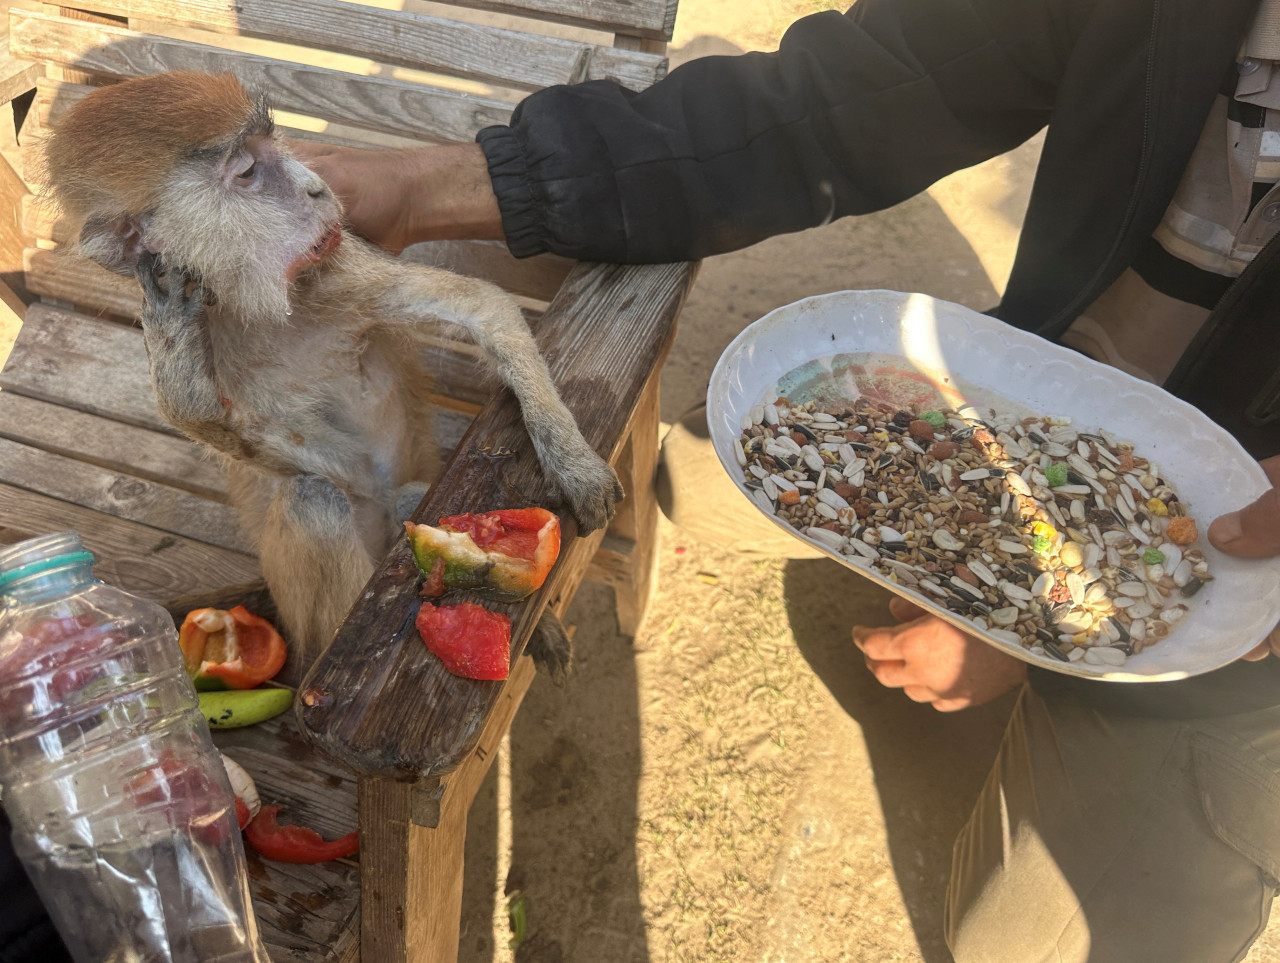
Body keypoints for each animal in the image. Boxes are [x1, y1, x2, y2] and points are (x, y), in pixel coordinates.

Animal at [47, 73, 627, 676]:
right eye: (247, 172)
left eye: (271, 143)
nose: (317, 189)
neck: (250, 307)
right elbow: (270, 452)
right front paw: (175, 359)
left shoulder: (336, 266)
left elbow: (481, 306)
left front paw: (573, 463)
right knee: (315, 502)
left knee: (390, 499)